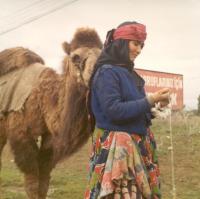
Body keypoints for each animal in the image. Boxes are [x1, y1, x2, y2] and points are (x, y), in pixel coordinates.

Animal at [0, 27, 102, 198]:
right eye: (75, 57)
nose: (97, 73)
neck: (44, 99)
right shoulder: (20, 132)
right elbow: (32, 183)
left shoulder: (49, 137)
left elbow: (44, 180)